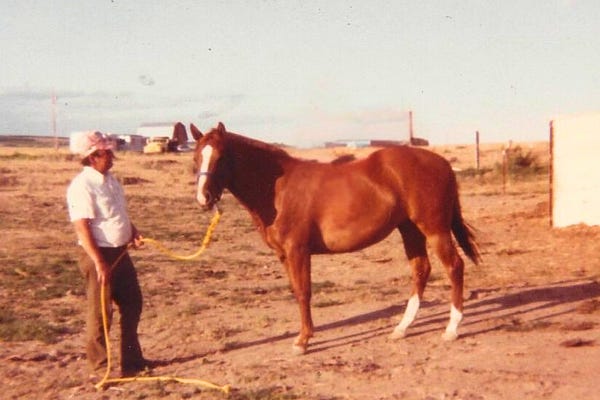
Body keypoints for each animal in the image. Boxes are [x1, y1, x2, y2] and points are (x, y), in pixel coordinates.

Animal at [191, 122, 480, 355]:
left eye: (221, 157)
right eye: (196, 157)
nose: (204, 198)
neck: (278, 191)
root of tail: (442, 163)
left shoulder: (298, 251)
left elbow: (304, 292)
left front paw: (303, 341)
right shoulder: (284, 255)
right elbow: (296, 290)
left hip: (434, 229)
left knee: (454, 267)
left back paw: (452, 329)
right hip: (409, 229)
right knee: (421, 269)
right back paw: (401, 328)